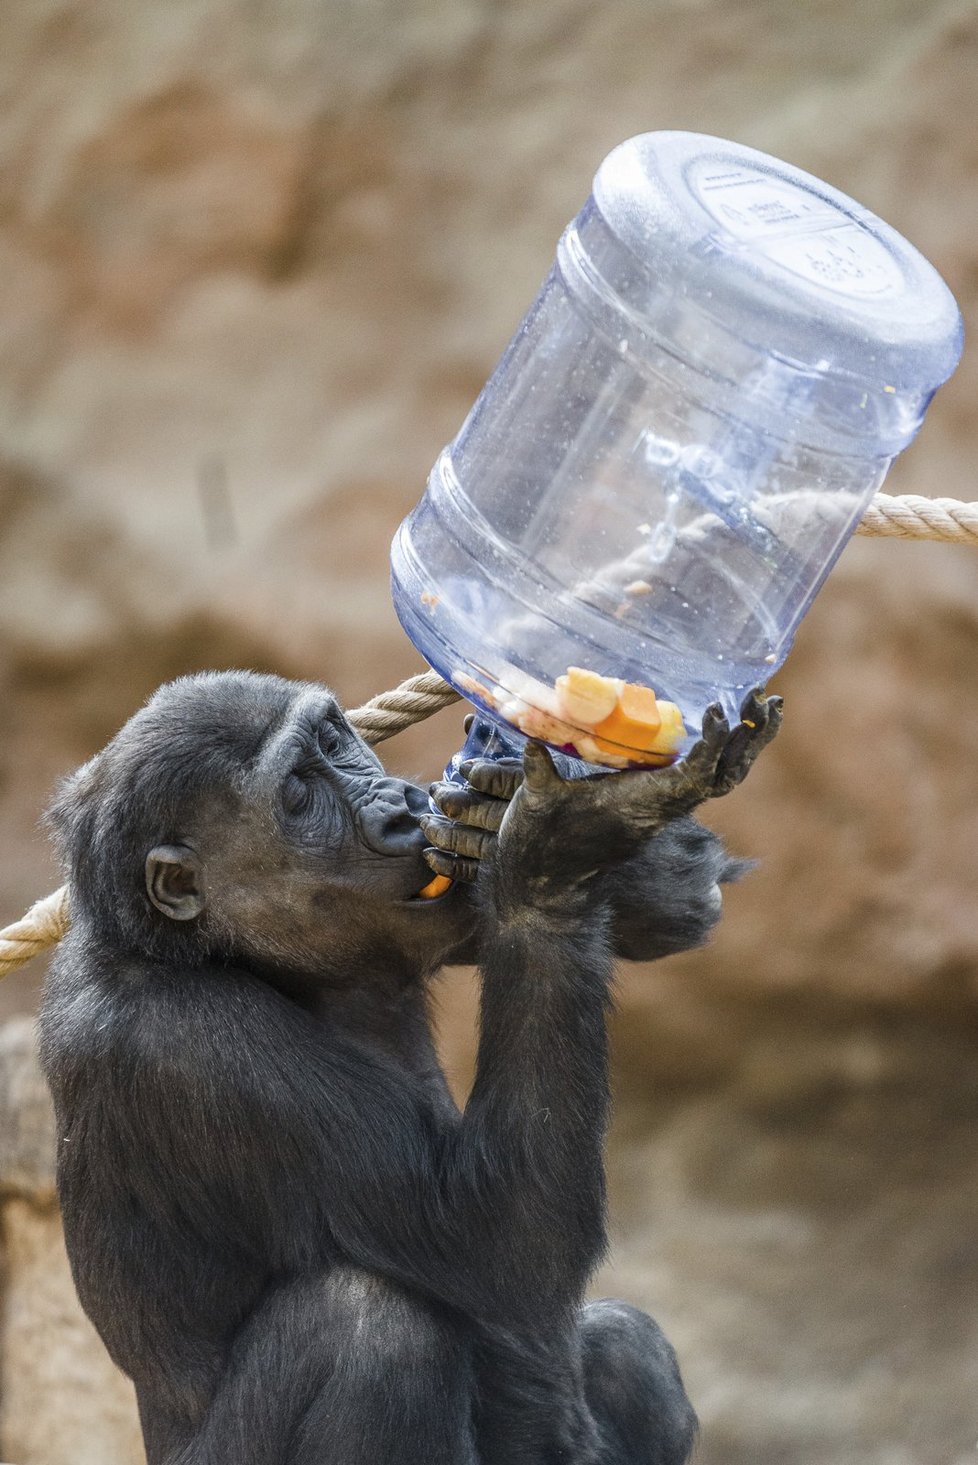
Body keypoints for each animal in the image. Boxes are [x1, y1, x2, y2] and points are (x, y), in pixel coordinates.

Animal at [40, 673, 778, 1465]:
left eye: (335, 740)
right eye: (298, 792)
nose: (399, 807)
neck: (219, 951)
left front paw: (527, 792)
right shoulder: (188, 1045)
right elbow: (492, 1241)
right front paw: (557, 839)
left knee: (624, 1348)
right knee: (376, 1331)